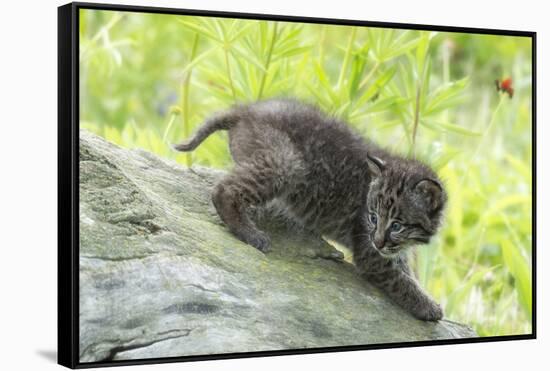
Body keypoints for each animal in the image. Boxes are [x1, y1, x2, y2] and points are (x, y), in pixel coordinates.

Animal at [176, 99, 448, 322]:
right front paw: (430, 307)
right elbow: (402, 282)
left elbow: (406, 271)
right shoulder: (371, 256)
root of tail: (247, 110)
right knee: (223, 190)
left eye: (397, 225)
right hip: (287, 163)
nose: (379, 241)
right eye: (373, 217)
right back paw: (250, 233)